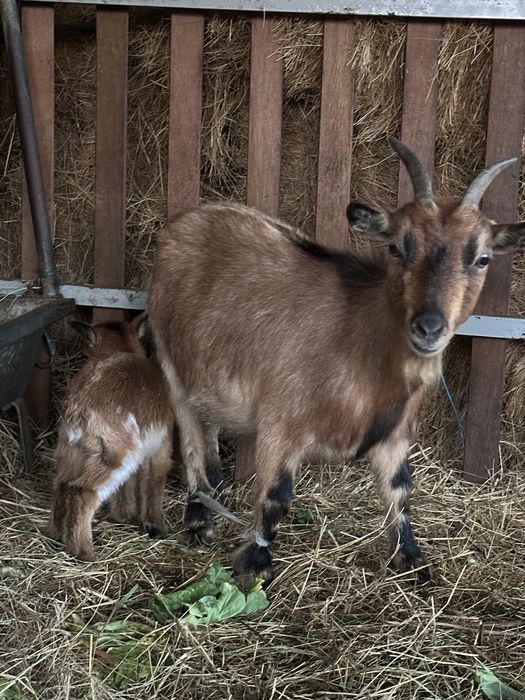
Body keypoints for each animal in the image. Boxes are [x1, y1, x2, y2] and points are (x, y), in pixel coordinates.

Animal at [45, 315, 174, 561]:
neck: (121, 351)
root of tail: (79, 409)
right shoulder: (160, 448)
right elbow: (155, 482)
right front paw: (156, 525)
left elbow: (129, 485)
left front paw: (124, 515)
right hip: (116, 457)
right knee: (82, 492)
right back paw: (84, 552)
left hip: (72, 451)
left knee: (62, 485)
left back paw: (55, 536)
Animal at [148, 137, 525, 586]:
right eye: (396, 247)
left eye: (482, 258)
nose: (429, 327)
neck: (362, 347)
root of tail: (185, 221)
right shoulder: (281, 421)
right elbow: (276, 496)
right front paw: (255, 563)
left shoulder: (395, 434)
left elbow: (401, 491)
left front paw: (412, 559)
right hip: (171, 364)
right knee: (189, 438)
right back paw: (198, 517)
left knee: (207, 429)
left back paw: (218, 489)